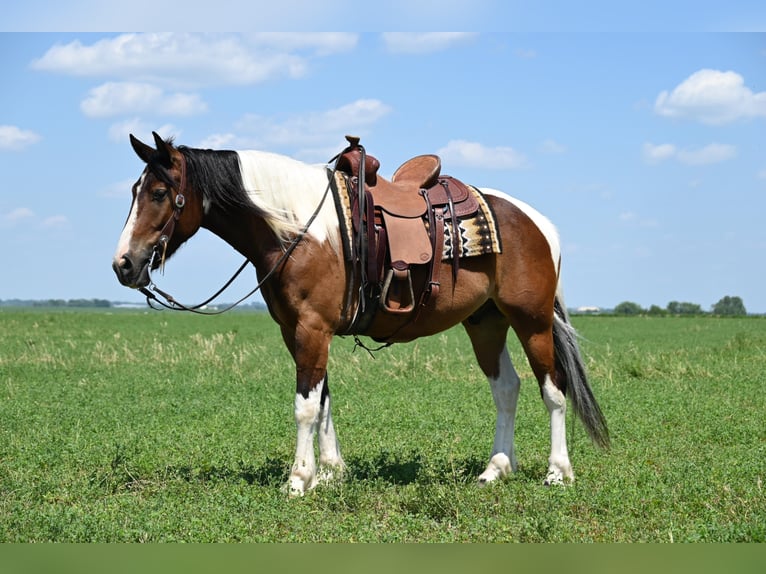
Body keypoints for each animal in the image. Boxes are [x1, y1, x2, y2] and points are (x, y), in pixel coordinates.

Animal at [112, 133, 612, 498]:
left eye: (159, 191)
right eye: (134, 191)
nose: (124, 264)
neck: (297, 229)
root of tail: (537, 223)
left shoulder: (312, 327)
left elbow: (305, 406)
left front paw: (299, 480)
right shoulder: (297, 331)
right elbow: (323, 400)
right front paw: (331, 473)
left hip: (531, 320)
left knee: (554, 390)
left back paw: (557, 471)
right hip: (486, 322)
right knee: (507, 388)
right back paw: (496, 469)